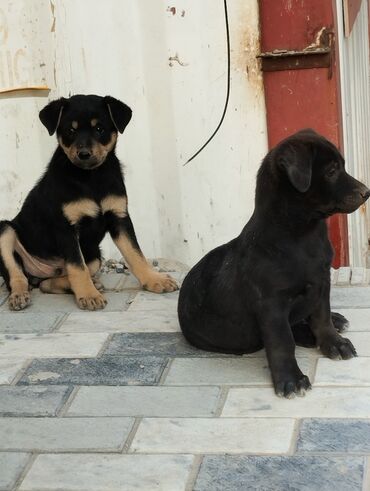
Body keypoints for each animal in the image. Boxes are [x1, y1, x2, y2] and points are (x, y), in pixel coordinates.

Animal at [0, 94, 178, 312]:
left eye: (99, 128)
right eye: (71, 130)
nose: (83, 154)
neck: (91, 177)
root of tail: (40, 273)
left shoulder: (120, 218)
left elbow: (135, 254)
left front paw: (154, 280)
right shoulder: (66, 228)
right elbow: (77, 266)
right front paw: (88, 295)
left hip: (94, 255)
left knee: (49, 283)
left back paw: (89, 283)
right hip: (5, 231)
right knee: (17, 275)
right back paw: (20, 296)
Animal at [178, 130, 368, 400]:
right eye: (332, 171)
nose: (366, 192)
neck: (302, 234)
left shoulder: (322, 282)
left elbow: (321, 317)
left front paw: (334, 341)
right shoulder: (271, 304)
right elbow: (282, 341)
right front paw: (290, 379)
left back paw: (335, 320)